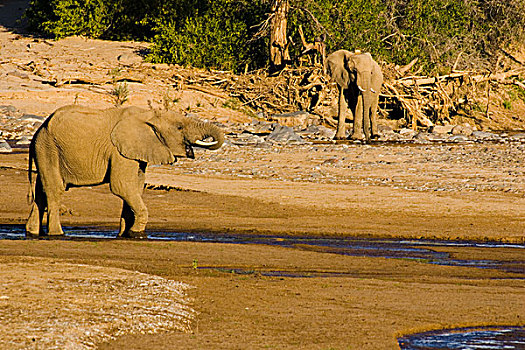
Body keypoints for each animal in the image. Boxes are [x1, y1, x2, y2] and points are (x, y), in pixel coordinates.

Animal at [26, 105, 223, 238]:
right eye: (180, 127)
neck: (147, 114)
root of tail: (37, 131)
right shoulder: (119, 151)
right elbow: (121, 186)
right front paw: (136, 234)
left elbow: (136, 186)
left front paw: (125, 233)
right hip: (48, 148)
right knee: (54, 189)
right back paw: (57, 234)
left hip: (45, 149)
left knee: (41, 192)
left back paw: (32, 232)